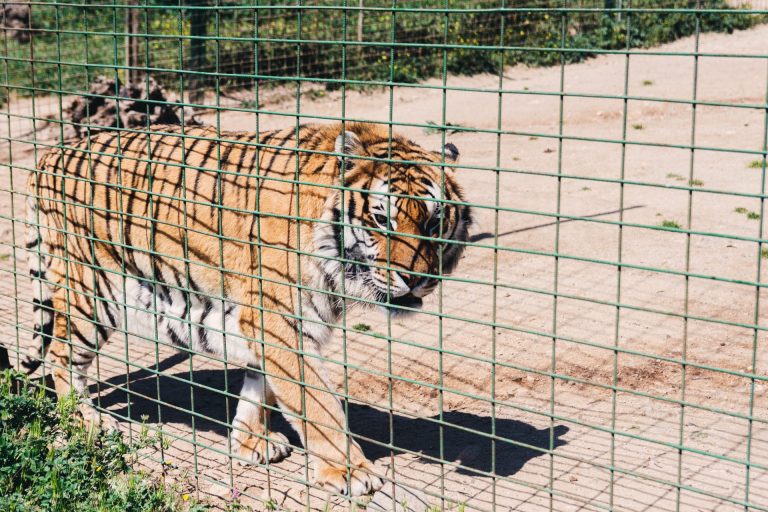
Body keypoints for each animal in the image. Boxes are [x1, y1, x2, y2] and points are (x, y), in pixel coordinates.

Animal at [2, 121, 471, 496]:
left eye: (433, 222)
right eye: (380, 220)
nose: (415, 278)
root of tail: (49, 155)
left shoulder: (267, 326)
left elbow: (259, 390)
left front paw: (250, 442)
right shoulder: (278, 321)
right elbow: (318, 406)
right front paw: (350, 470)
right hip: (93, 292)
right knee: (61, 354)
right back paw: (88, 420)